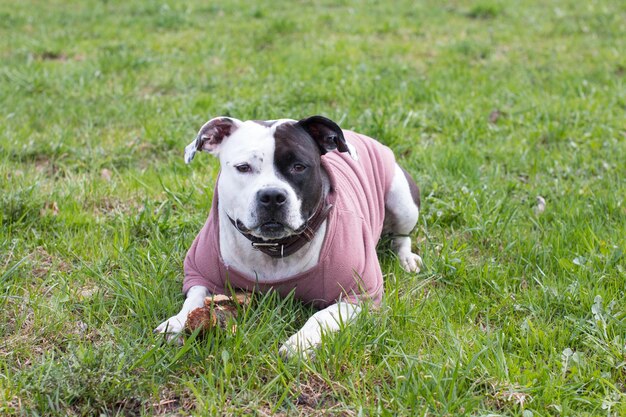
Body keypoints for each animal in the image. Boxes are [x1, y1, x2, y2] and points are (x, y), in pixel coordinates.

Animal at [154, 115, 422, 356]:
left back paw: (407, 259)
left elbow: (321, 316)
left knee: (402, 236)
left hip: (402, 201)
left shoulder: (360, 295)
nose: (272, 196)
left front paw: (299, 343)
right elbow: (195, 299)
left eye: (299, 167)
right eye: (243, 168)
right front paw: (176, 323)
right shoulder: (199, 273)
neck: (275, 247)